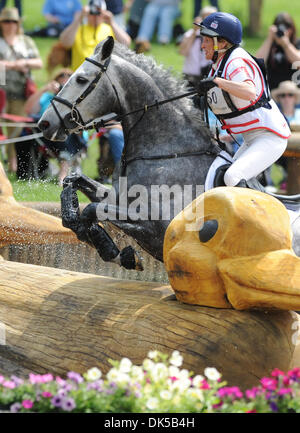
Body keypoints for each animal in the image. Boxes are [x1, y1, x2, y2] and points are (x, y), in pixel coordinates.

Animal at [38, 37, 300, 268]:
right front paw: (111, 248)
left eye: (81, 79)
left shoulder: (158, 227)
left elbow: (92, 210)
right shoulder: (118, 197)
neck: (168, 153)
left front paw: (115, 251)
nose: (44, 124)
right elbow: (74, 184)